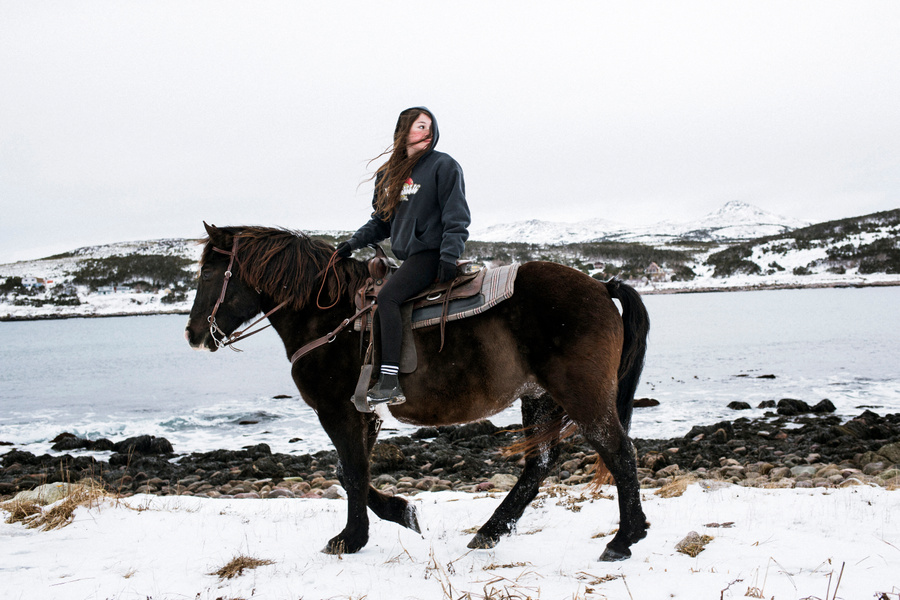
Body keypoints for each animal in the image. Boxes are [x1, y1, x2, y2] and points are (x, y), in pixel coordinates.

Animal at [185, 223, 648, 560]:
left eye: (208, 273)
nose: (192, 335)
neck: (329, 316)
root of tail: (601, 286)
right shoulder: (364, 413)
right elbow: (350, 472)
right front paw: (402, 512)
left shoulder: (337, 410)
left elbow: (353, 472)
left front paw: (351, 538)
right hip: (539, 398)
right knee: (539, 465)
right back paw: (491, 531)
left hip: (582, 396)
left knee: (619, 453)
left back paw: (624, 539)